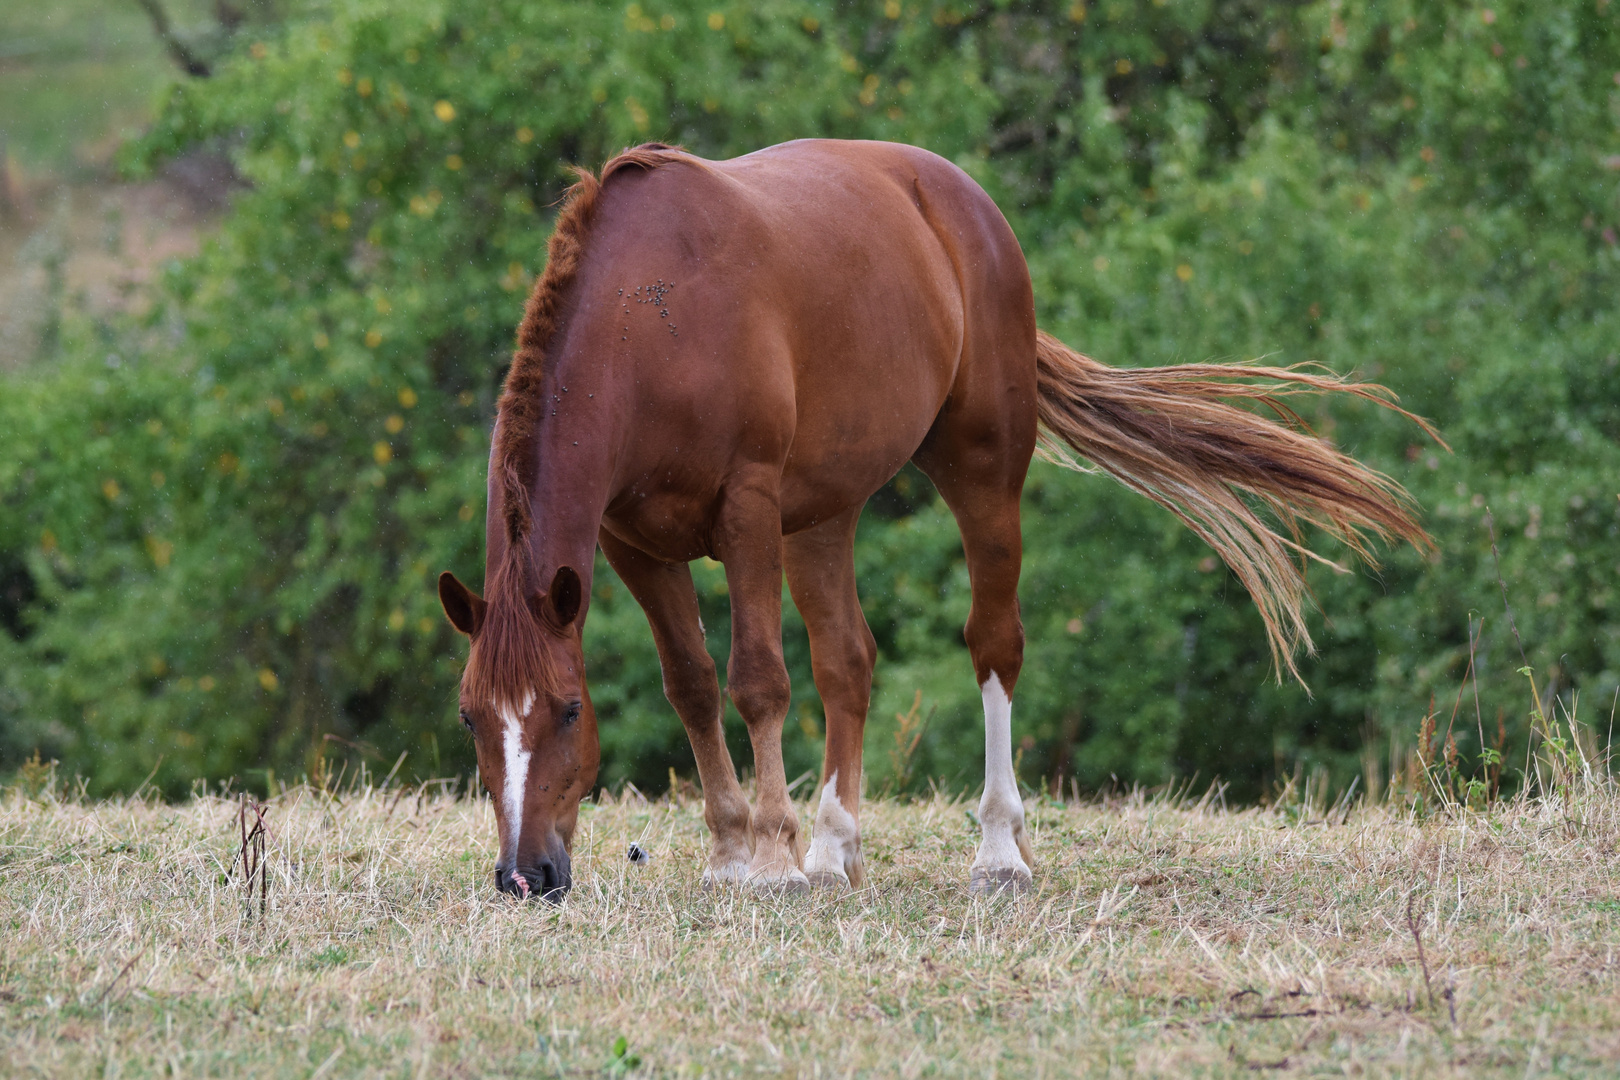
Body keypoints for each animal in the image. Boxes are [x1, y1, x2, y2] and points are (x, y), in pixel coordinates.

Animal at [434, 143, 1432, 906]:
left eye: (568, 710)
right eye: (471, 716)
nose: (526, 876)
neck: (653, 317)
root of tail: (960, 199)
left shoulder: (746, 510)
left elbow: (757, 679)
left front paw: (768, 860)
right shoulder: (635, 545)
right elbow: (693, 685)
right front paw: (731, 852)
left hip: (979, 469)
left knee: (993, 642)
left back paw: (994, 851)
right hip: (822, 515)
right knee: (848, 661)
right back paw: (835, 847)